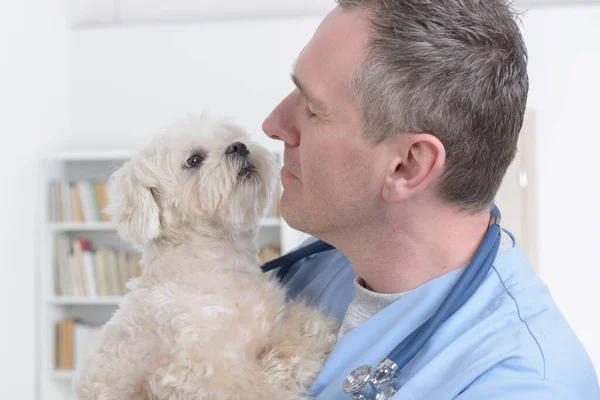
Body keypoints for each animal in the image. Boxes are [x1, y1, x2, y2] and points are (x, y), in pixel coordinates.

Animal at [72, 113, 340, 400]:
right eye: (194, 160)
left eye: (234, 138)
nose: (238, 146)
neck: (216, 262)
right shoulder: (197, 370)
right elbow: (253, 388)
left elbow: (295, 338)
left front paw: (311, 334)